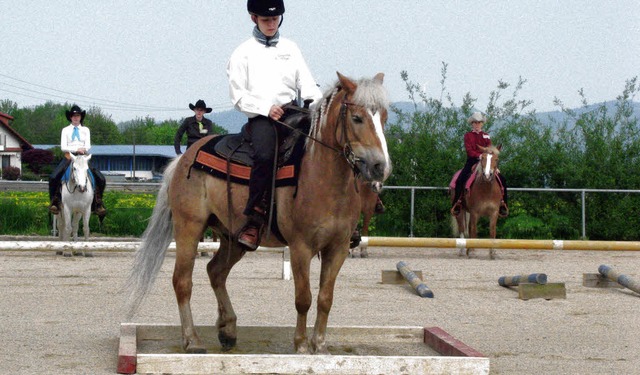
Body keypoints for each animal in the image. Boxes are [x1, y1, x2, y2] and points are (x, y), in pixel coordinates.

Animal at [125, 72, 390, 356]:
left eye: (384, 117)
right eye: (357, 118)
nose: (380, 167)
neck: (321, 175)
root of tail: (185, 158)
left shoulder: (338, 248)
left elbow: (325, 299)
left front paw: (320, 346)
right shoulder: (301, 247)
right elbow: (303, 298)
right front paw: (301, 346)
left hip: (232, 237)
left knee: (215, 272)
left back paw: (228, 329)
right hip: (189, 227)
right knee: (182, 281)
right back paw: (192, 340)